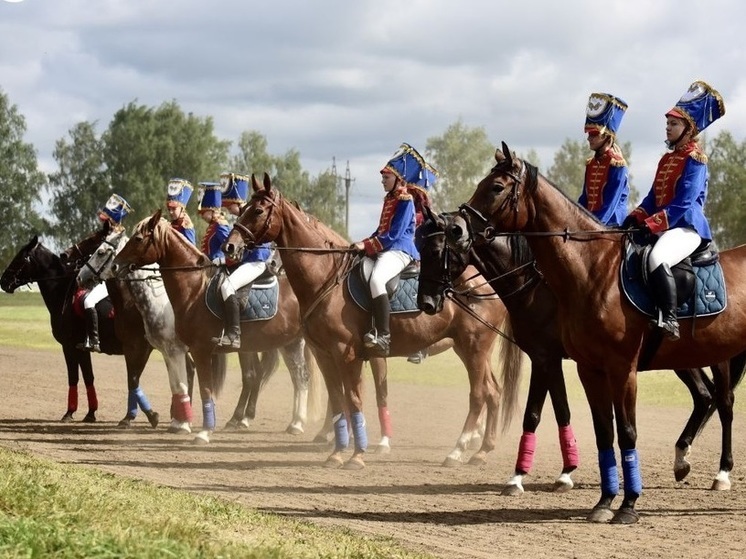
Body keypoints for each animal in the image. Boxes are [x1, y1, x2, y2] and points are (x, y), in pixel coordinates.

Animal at [0, 232, 157, 424]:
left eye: (20, 258)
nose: (3, 281)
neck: (63, 294)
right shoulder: (82, 349)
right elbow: (88, 377)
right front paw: (90, 413)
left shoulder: (69, 346)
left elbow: (73, 377)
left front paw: (69, 412)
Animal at [224, 173, 520, 470]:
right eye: (243, 208)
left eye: (258, 210)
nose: (231, 246)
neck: (326, 277)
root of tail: (487, 281)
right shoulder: (324, 354)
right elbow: (338, 399)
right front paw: (337, 451)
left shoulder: (347, 354)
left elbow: (354, 399)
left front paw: (357, 454)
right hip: (468, 349)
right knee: (493, 391)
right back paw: (482, 451)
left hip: (474, 348)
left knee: (479, 394)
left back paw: (458, 450)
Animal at [416, 210, 744, 494]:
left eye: (434, 251)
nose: (426, 303)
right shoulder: (549, 358)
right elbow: (560, 410)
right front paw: (563, 471)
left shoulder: (546, 357)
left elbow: (536, 413)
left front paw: (528, 475)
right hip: (684, 358)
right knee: (704, 396)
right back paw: (681, 458)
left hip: (716, 357)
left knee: (725, 403)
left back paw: (722, 473)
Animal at [450, 141, 746, 524]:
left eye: (496, 187)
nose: (457, 228)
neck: (590, 270)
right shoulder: (585, 367)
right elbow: (601, 431)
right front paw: (603, 500)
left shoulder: (614, 368)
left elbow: (623, 432)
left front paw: (628, 504)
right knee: (705, 397)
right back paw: (684, 461)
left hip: (717, 358)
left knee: (723, 402)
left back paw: (721, 473)